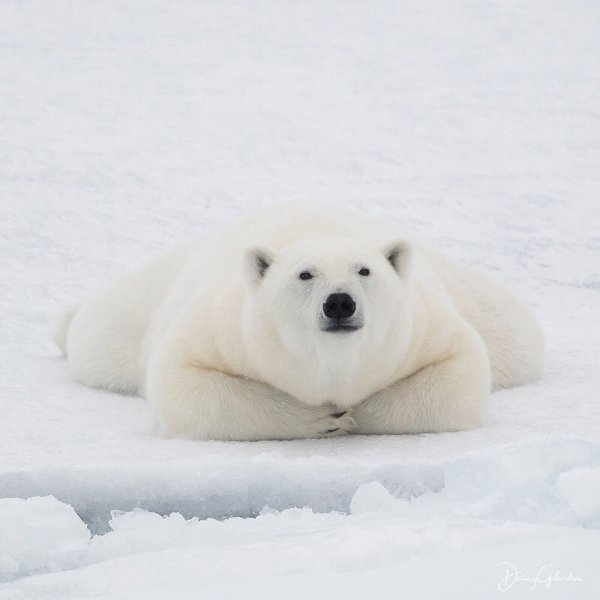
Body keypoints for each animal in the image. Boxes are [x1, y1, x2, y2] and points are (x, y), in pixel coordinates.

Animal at [55, 206, 544, 440]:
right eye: (305, 274)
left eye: (364, 270)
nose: (340, 303)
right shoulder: (224, 326)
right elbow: (182, 383)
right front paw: (322, 419)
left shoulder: (423, 328)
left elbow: (459, 374)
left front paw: (356, 412)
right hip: (143, 304)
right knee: (98, 337)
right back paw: (64, 322)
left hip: (483, 307)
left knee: (519, 335)